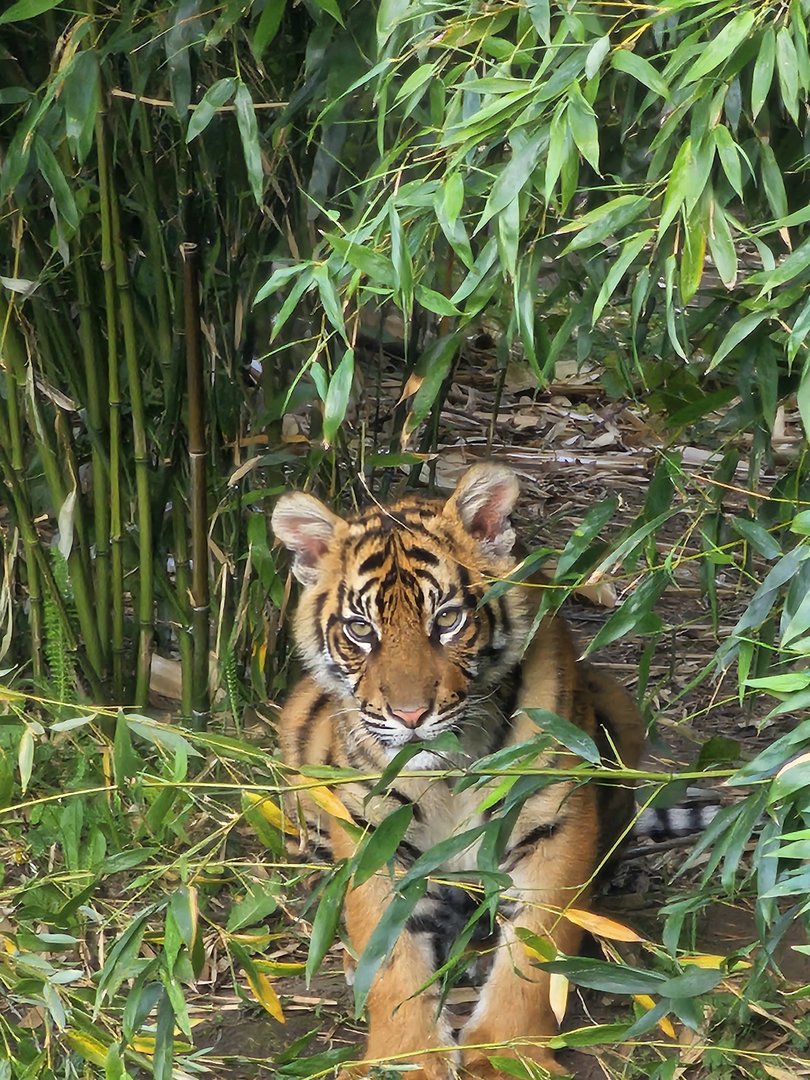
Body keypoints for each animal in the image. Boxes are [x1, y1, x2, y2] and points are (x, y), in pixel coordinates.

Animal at [271, 463, 645, 1079]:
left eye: (446, 620)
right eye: (361, 630)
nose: (410, 715)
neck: (449, 767)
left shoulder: (555, 824)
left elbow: (533, 961)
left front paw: (507, 1055)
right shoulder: (375, 837)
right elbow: (390, 958)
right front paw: (403, 1058)